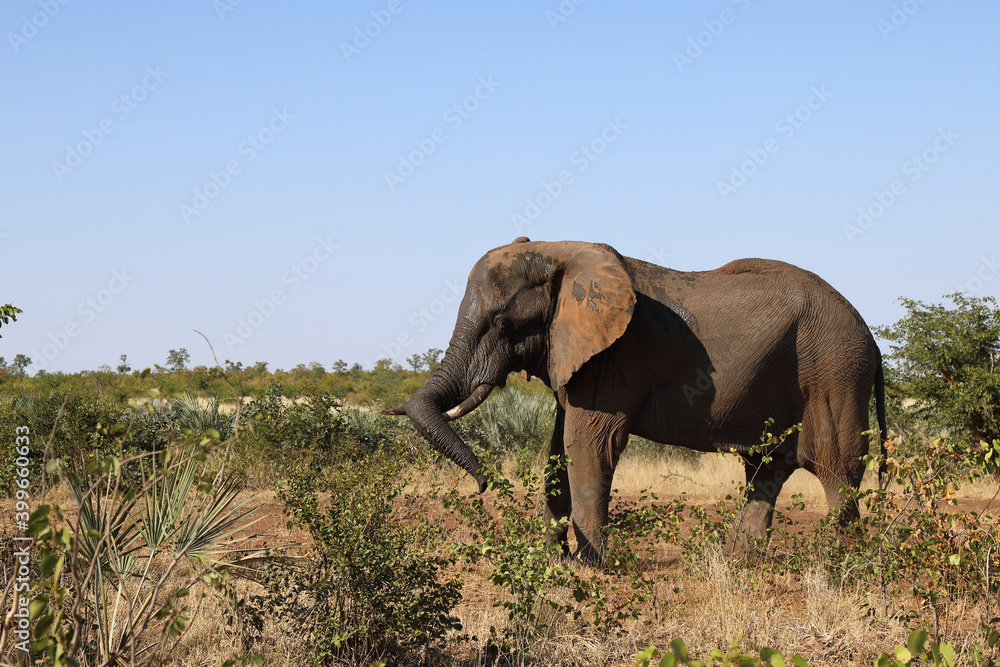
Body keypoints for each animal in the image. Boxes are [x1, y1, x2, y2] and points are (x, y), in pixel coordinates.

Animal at [386, 238, 887, 563]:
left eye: (502, 321)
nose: (483, 484)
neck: (559, 251)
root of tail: (872, 337)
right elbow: (558, 450)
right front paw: (553, 563)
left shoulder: (614, 357)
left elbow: (589, 446)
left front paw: (589, 568)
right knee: (766, 469)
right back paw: (738, 564)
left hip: (834, 370)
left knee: (837, 467)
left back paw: (845, 565)